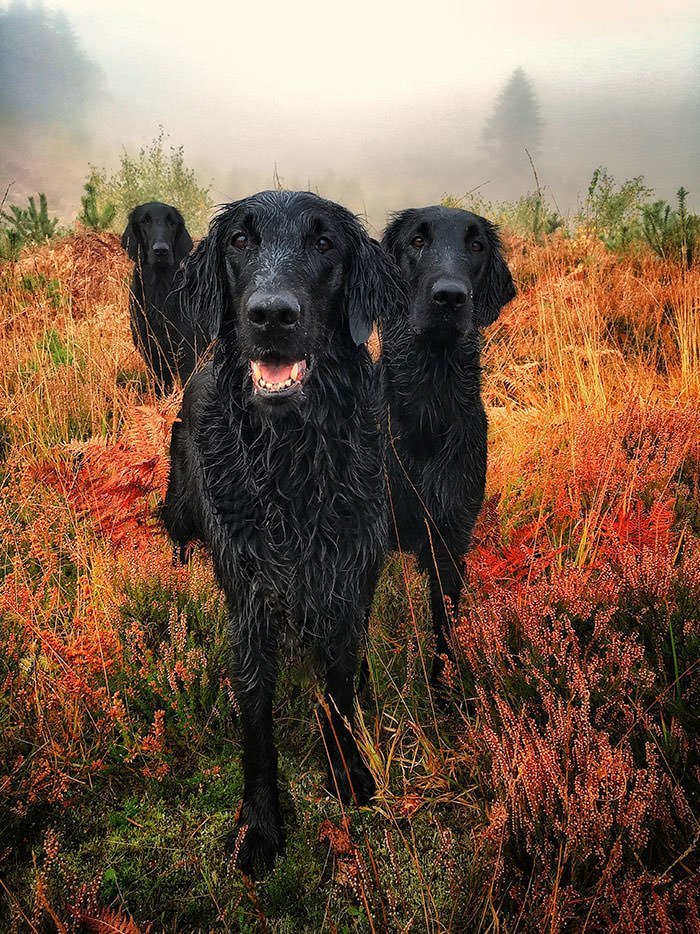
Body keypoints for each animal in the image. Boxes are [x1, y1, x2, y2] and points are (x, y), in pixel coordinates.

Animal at [121, 203, 200, 394]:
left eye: (172, 222)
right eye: (145, 221)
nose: (161, 250)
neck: (160, 290)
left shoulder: (188, 353)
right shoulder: (152, 354)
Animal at [382, 208, 516, 700]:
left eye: (476, 246)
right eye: (417, 241)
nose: (450, 297)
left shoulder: (451, 537)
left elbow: (444, 628)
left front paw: (445, 696)